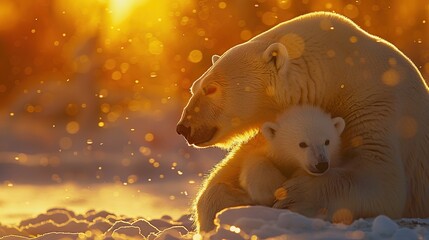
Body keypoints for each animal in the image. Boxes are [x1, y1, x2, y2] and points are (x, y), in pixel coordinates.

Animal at [175, 12, 428, 231]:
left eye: (211, 89)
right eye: (194, 87)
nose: (183, 127)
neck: (340, 71)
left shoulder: (378, 104)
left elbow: (380, 177)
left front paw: (292, 197)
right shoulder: (280, 119)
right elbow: (228, 173)